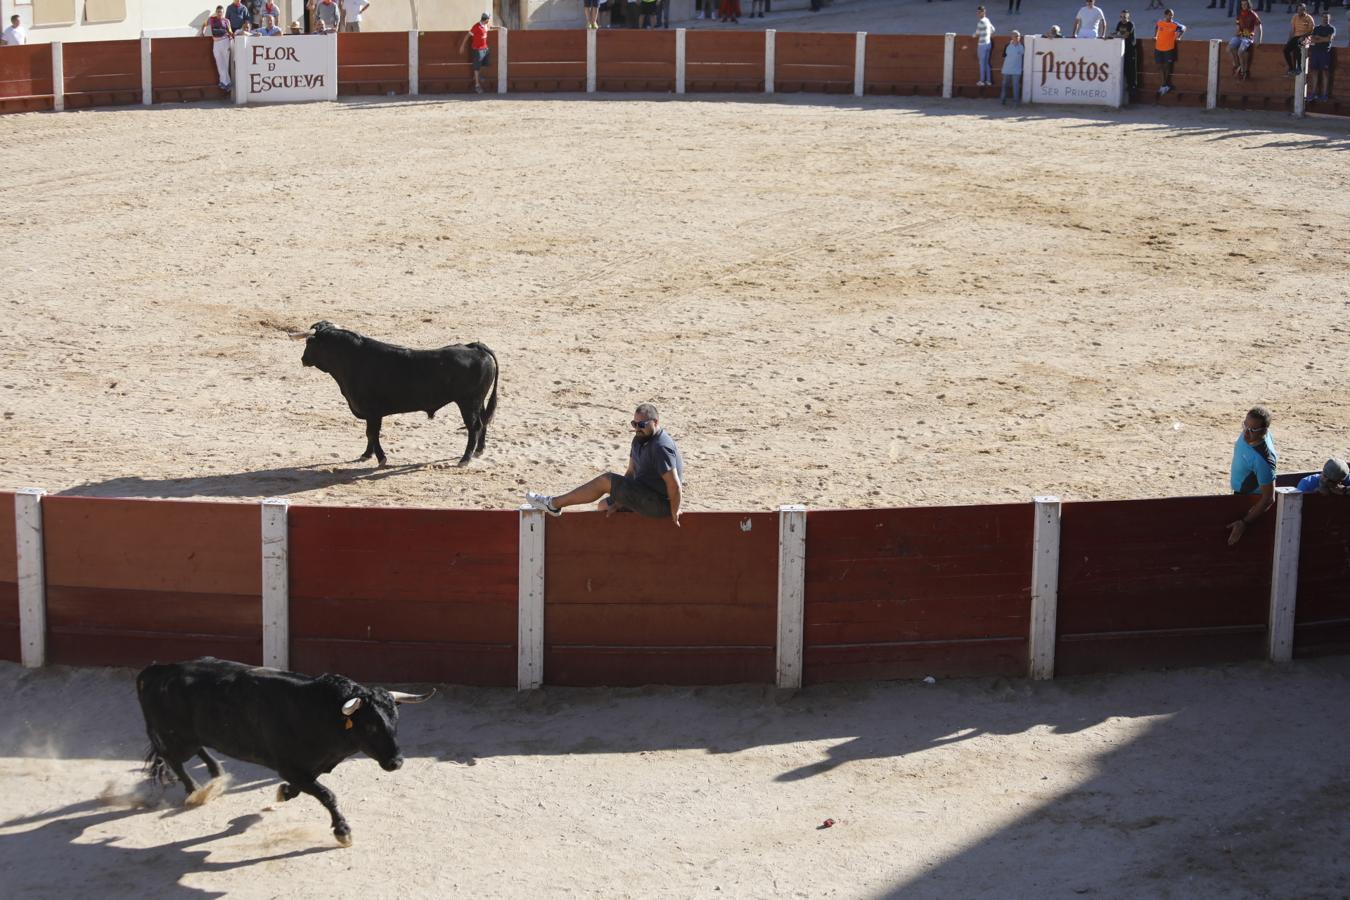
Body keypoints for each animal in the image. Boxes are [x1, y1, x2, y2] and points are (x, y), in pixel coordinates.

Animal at [137, 658, 432, 847]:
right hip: (177, 738)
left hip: (191, 735)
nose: (396, 762)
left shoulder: (310, 767)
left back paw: (216, 775)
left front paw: (284, 792)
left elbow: (305, 788)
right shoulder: (290, 766)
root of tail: (155, 671)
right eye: (370, 724)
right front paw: (342, 831)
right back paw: (195, 790)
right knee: (173, 759)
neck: (320, 710)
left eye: (395, 720)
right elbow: (327, 794)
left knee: (194, 752)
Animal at [295, 319, 502, 469]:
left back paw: (465, 459)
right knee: (483, 422)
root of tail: (475, 346)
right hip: (478, 402)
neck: (352, 358)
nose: (303, 359)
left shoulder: (373, 412)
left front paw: (381, 459)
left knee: (474, 426)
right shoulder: (371, 414)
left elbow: (372, 433)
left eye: (309, 342)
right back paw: (479, 451)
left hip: (468, 403)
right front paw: (366, 454)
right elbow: (370, 434)